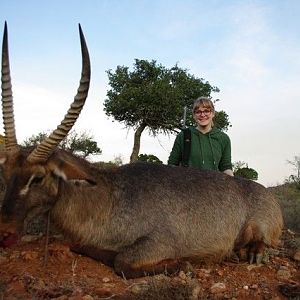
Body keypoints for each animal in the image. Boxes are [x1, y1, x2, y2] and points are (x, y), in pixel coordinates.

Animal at [0, 22, 282, 278]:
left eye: (38, 177)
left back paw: (252, 253)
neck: (108, 195)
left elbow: (122, 262)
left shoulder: (162, 242)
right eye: (5, 174)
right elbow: (83, 247)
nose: (4, 232)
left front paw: (183, 265)